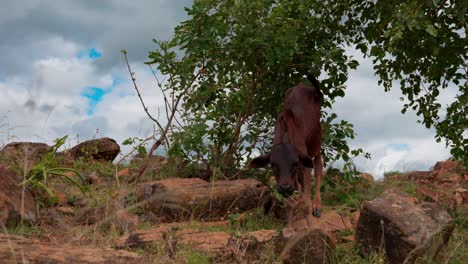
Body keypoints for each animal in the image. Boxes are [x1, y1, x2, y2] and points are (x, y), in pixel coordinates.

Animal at [249, 73, 322, 228]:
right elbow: (290, 204)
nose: (285, 187)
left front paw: (310, 227)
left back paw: (317, 206)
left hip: (317, 142)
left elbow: (305, 203)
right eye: (273, 165)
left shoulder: (304, 164)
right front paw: (290, 227)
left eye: (295, 163)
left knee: (319, 167)